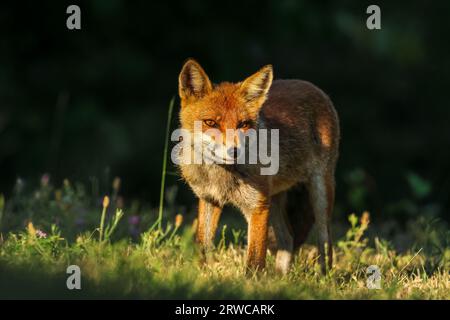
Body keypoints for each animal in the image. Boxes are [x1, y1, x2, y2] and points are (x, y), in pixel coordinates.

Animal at [178, 58, 340, 274]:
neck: (220, 176)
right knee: (288, 238)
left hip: (320, 192)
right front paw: (200, 274)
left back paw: (323, 275)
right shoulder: (209, 199)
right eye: (210, 122)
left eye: (243, 124)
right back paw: (279, 277)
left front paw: (250, 282)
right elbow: (202, 245)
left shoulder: (257, 206)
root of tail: (309, 84)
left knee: (325, 241)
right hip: (275, 199)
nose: (234, 151)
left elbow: (254, 260)